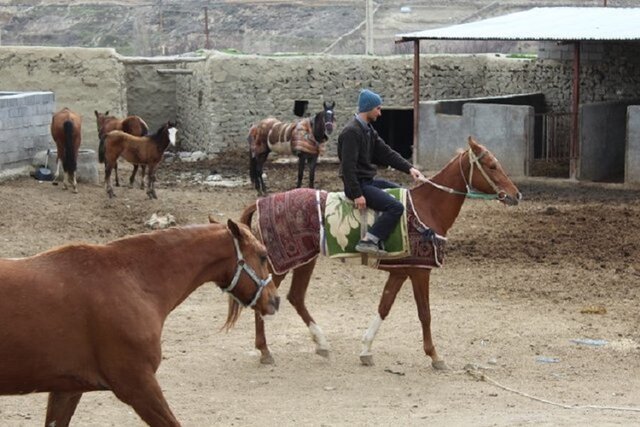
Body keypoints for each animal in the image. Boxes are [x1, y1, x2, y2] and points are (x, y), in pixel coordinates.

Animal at [238, 138, 524, 372]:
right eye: (491, 165)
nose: (516, 194)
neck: (427, 208)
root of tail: (261, 203)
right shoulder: (420, 272)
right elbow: (425, 313)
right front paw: (435, 356)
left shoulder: (400, 272)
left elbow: (384, 307)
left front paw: (366, 350)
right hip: (281, 264)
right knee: (265, 295)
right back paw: (265, 350)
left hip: (305, 261)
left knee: (296, 297)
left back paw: (321, 344)